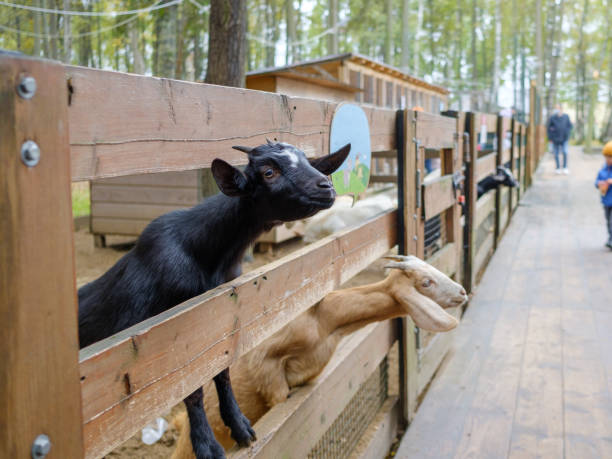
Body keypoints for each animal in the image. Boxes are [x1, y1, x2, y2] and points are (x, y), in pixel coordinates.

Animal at [79, 141, 352, 459]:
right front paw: (206, 446)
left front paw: (240, 427)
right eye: (268, 172)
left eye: (308, 162)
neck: (209, 253)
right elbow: (192, 389)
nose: (326, 187)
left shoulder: (217, 322)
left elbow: (222, 372)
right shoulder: (173, 337)